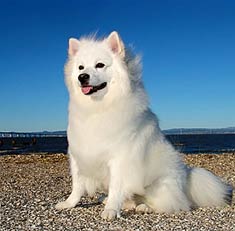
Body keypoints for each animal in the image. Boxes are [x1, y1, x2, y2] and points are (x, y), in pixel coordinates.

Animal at [56, 31, 232, 220]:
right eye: (81, 68)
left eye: (100, 65)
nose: (82, 77)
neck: (97, 108)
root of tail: (186, 181)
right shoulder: (78, 155)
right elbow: (77, 186)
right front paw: (69, 204)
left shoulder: (120, 159)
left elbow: (116, 187)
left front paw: (111, 210)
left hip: (159, 185)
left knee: (171, 204)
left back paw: (144, 207)